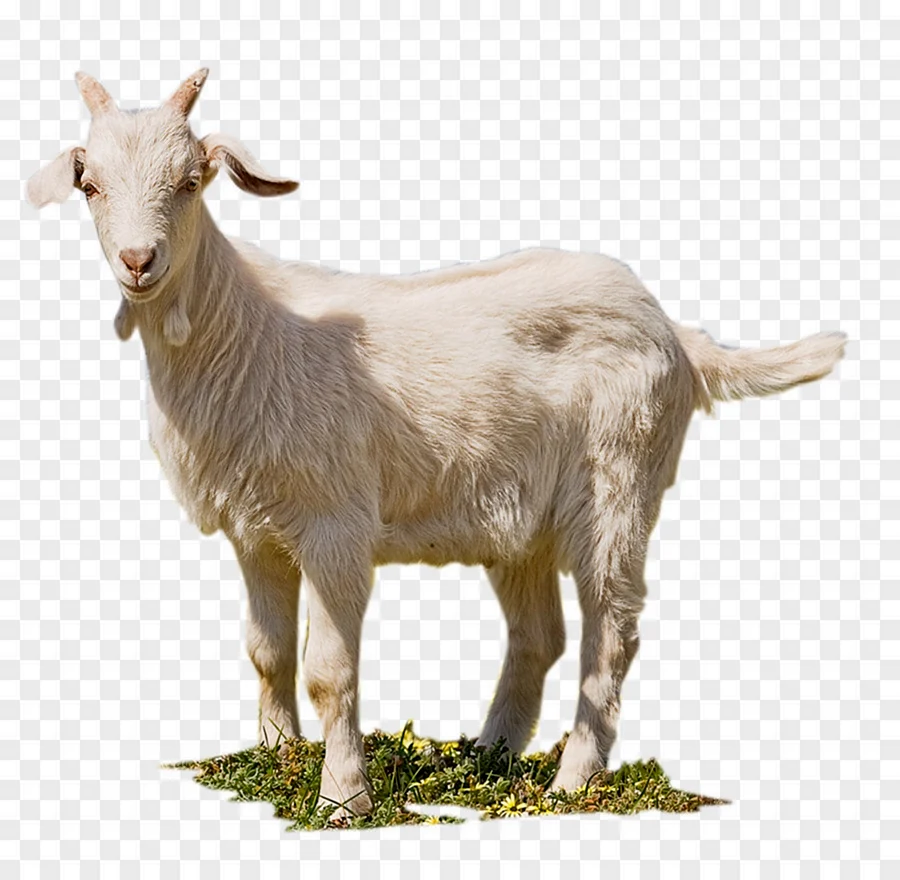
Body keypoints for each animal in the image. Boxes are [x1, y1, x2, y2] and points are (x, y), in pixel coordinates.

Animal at [27, 69, 846, 819]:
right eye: (90, 185)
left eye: (191, 181)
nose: (139, 262)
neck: (249, 332)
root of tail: (677, 332)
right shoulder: (253, 529)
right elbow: (267, 653)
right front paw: (278, 760)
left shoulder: (336, 524)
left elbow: (329, 671)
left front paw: (343, 798)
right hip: (522, 520)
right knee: (538, 636)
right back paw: (488, 759)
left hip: (620, 480)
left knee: (610, 633)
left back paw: (572, 781)